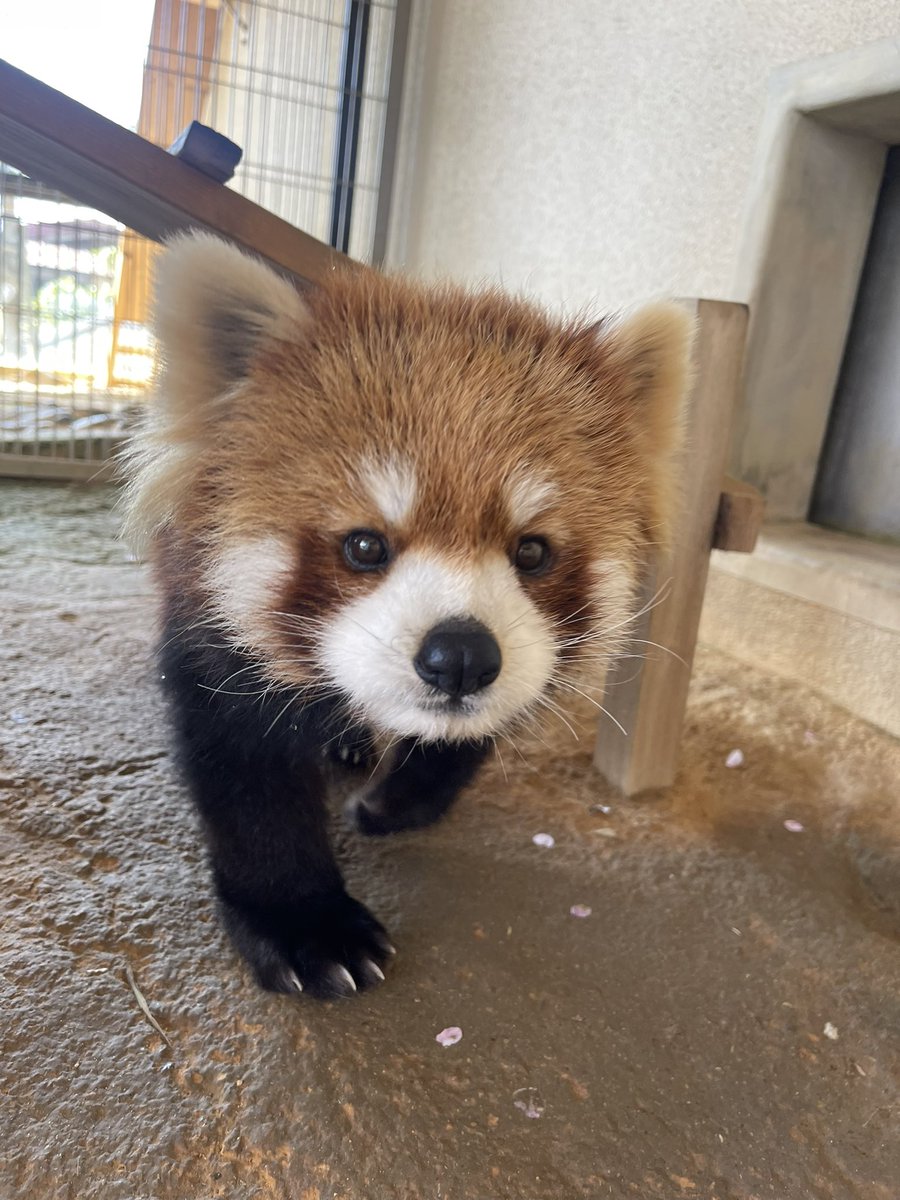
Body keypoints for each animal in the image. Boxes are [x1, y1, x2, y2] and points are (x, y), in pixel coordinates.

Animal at [123, 231, 696, 993]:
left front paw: (400, 802)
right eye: (365, 545)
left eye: (532, 551)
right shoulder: (206, 617)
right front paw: (302, 919)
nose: (460, 657)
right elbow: (246, 769)